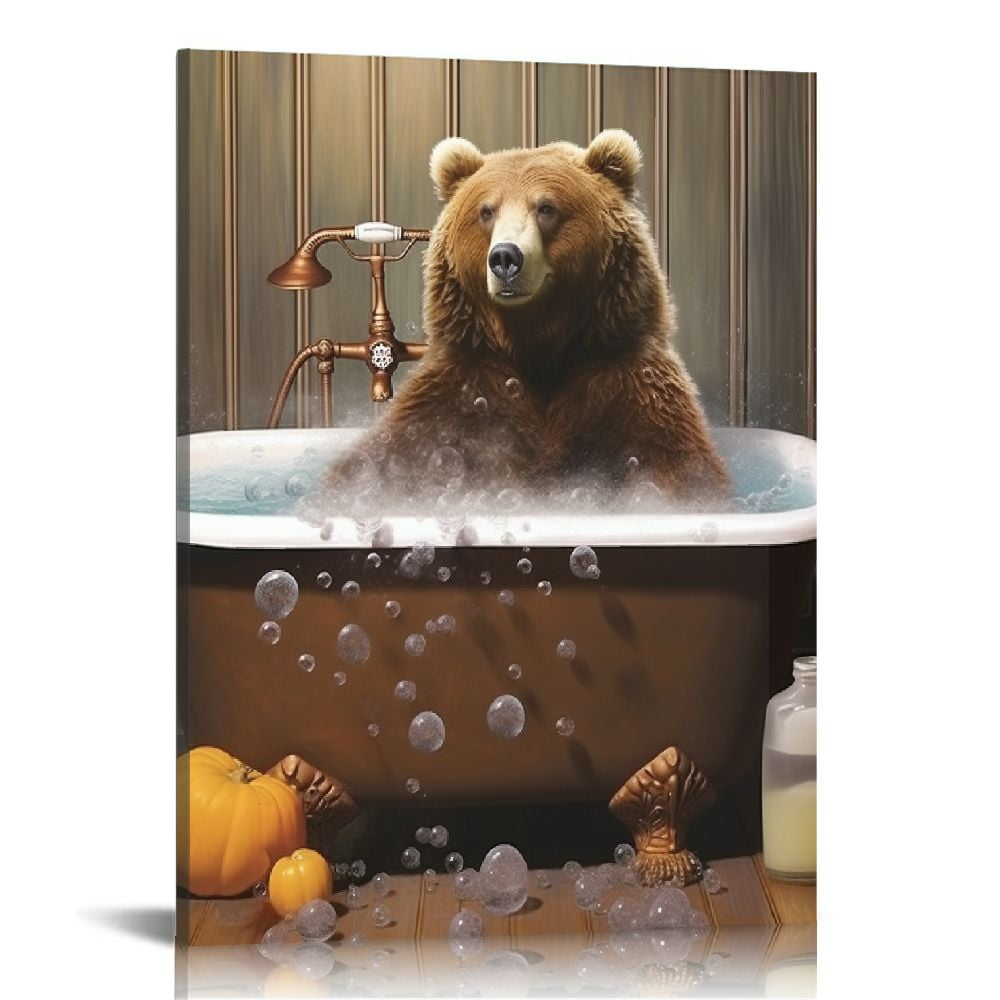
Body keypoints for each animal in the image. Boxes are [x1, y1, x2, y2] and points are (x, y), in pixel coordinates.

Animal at [321, 129, 729, 515]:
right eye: (487, 211)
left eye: (546, 207)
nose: (505, 257)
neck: (536, 345)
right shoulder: (462, 392)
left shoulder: (624, 383)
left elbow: (675, 464)